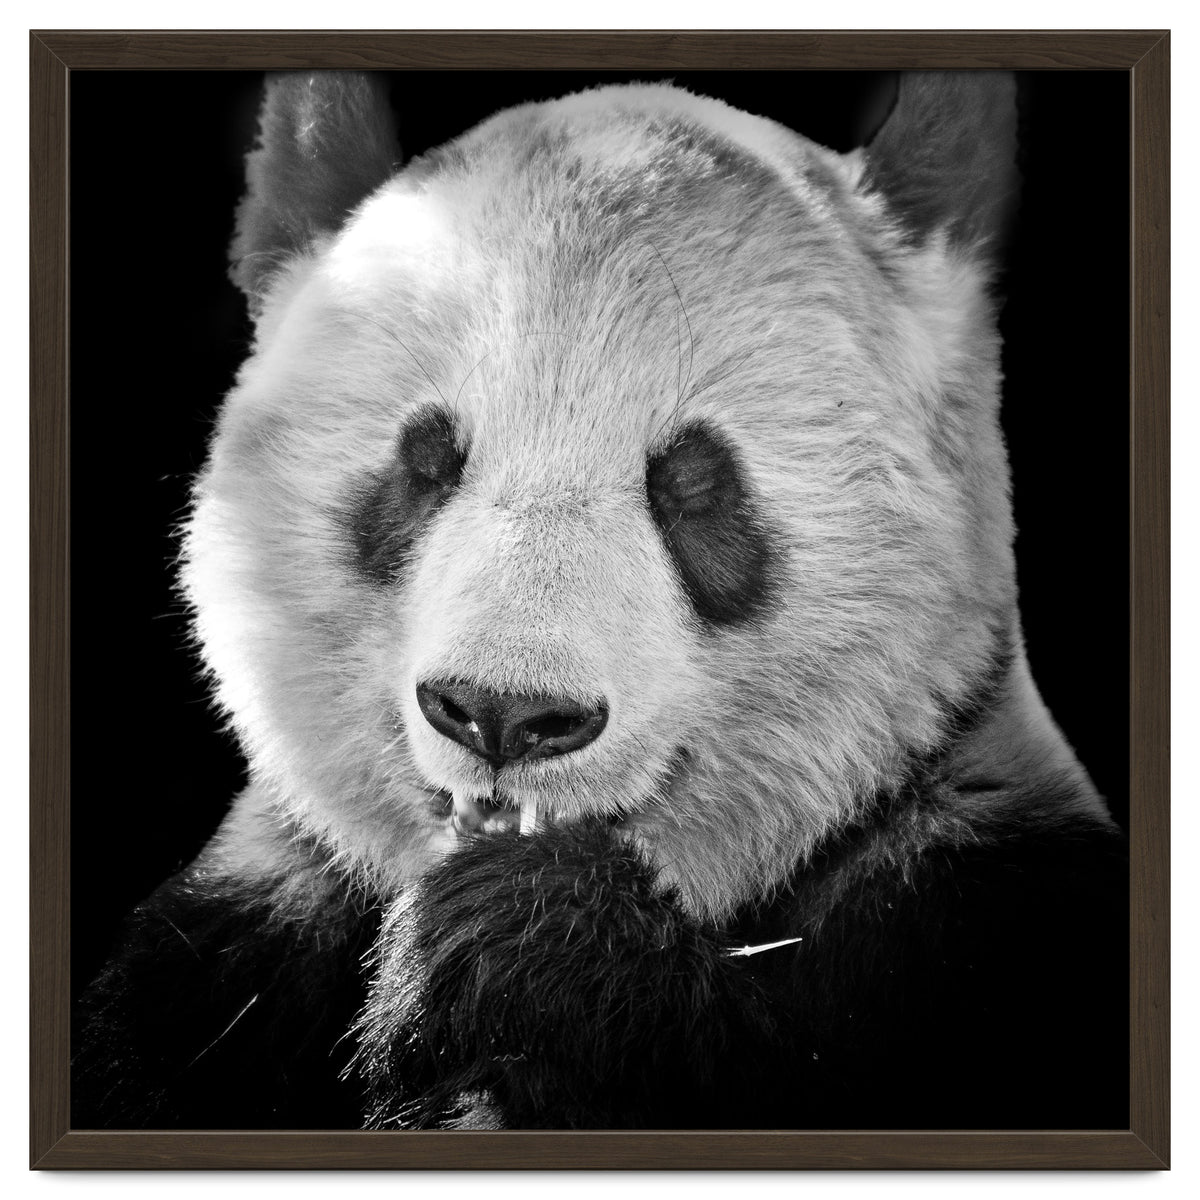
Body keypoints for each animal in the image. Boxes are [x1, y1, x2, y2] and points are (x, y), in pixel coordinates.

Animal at [72, 71, 1128, 1132]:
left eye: (693, 484)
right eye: (426, 461)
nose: (504, 714)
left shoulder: (976, 912)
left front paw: (524, 944)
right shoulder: (229, 952)